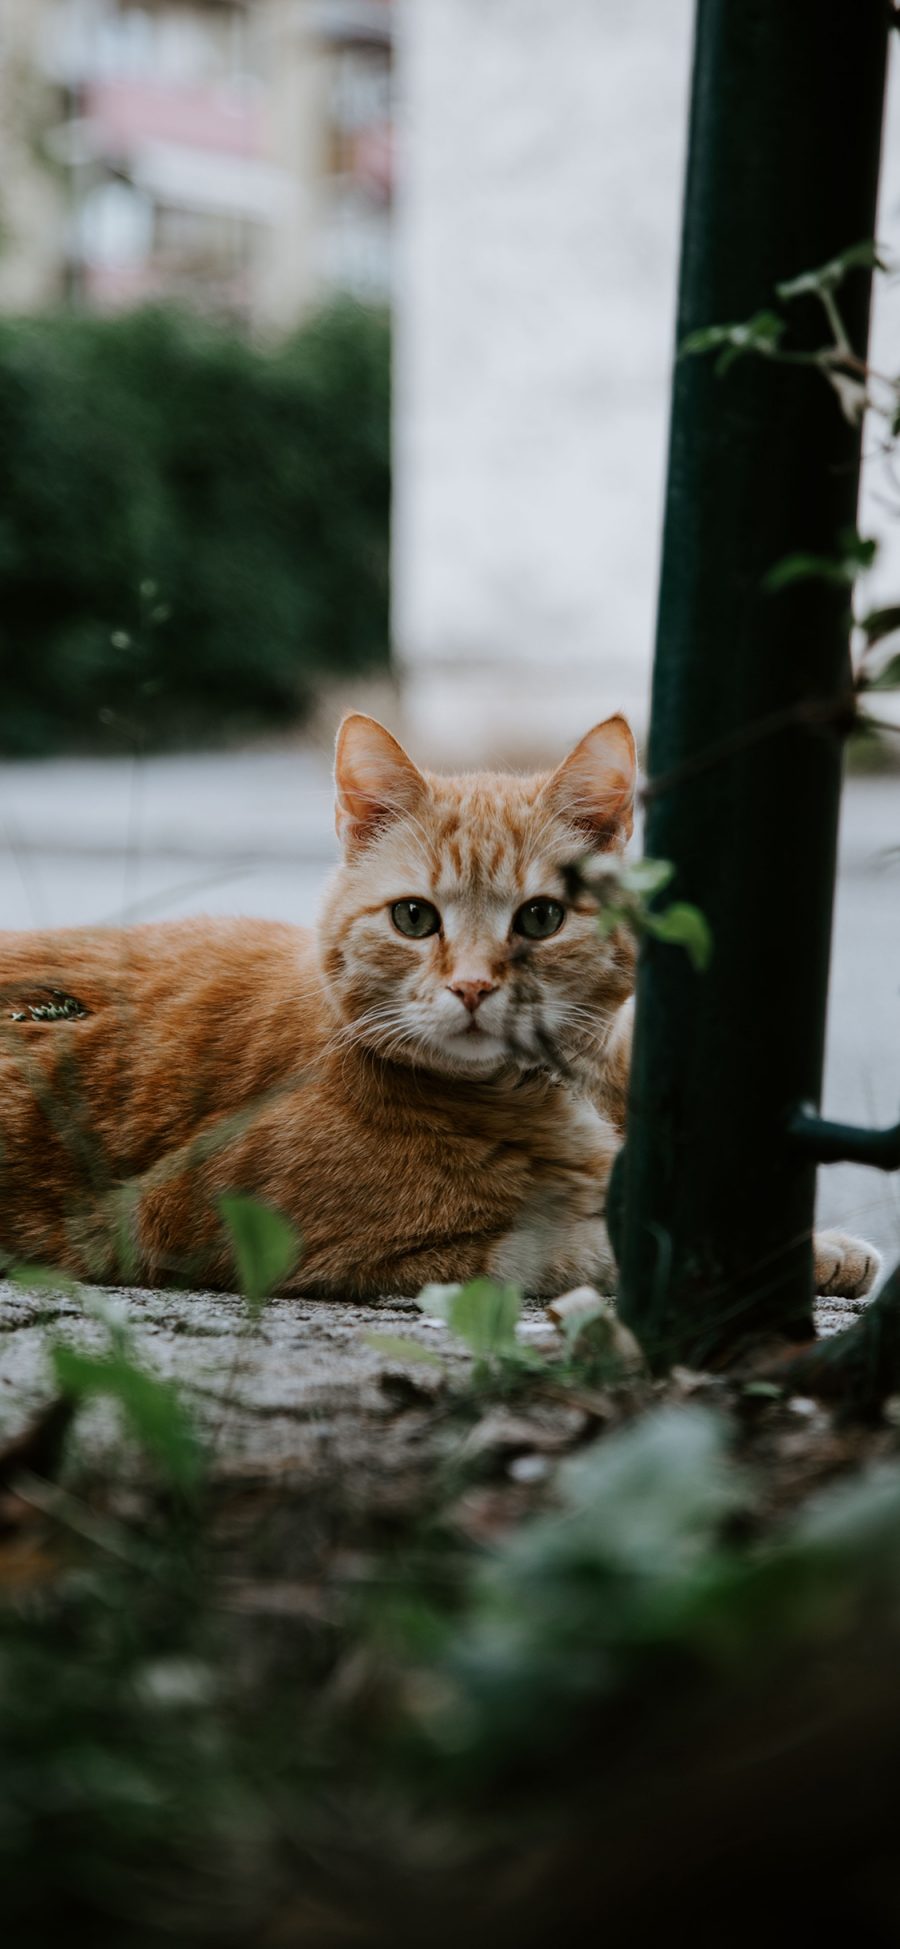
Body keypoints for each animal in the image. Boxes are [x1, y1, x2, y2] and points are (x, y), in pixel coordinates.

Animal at [0, 709, 880, 1301]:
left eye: (541, 917)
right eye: (415, 919)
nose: (473, 987)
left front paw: (824, 1247)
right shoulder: (332, 1249)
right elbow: (590, 1243)